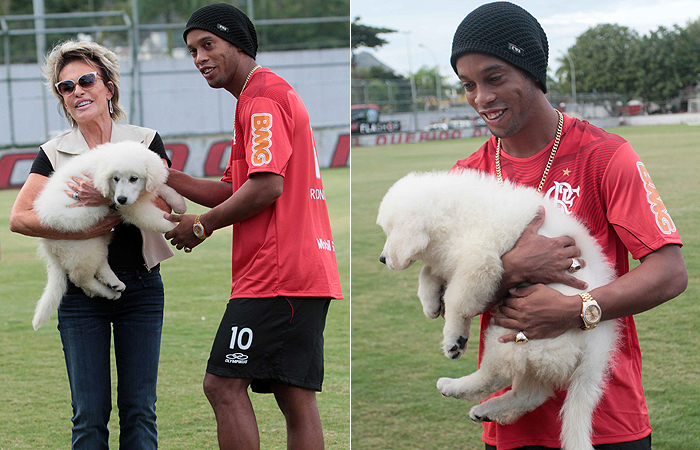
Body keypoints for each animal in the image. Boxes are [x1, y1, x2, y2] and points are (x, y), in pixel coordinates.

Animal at [32, 141, 186, 330]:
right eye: (116, 178)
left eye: (134, 178)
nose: (121, 199)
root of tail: (47, 243)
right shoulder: (133, 209)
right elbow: (154, 218)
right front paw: (179, 226)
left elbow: (162, 187)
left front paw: (178, 201)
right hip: (84, 244)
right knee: (79, 277)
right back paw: (109, 292)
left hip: (98, 238)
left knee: (100, 264)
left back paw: (114, 283)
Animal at [378, 170, 616, 450]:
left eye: (389, 231)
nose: (382, 259)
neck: (451, 215)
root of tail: (597, 341)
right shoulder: (454, 259)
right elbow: (428, 272)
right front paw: (430, 301)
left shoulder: (479, 262)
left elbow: (457, 299)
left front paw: (453, 337)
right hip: (538, 347)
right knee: (531, 393)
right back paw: (487, 410)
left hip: (518, 333)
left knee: (494, 376)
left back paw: (454, 386)